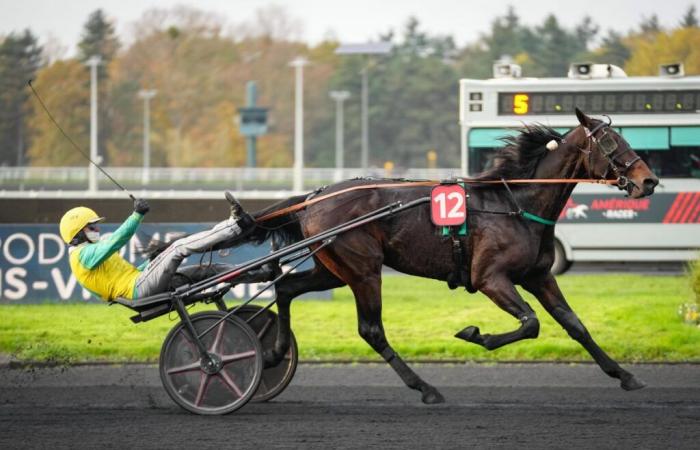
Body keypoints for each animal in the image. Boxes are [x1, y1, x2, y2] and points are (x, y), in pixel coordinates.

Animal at [242, 110, 656, 404]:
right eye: (610, 142)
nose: (648, 180)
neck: (515, 204)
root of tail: (313, 197)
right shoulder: (491, 278)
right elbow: (531, 323)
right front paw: (475, 334)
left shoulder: (539, 276)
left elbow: (574, 324)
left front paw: (625, 375)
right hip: (363, 270)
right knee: (371, 329)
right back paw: (425, 387)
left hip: (334, 269)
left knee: (287, 289)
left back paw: (275, 352)